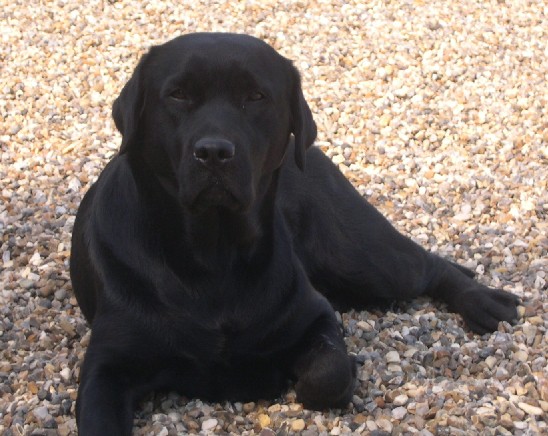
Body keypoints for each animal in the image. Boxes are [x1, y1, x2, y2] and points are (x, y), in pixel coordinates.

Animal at [69, 32, 520, 434]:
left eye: (255, 96)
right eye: (178, 95)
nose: (214, 152)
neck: (214, 255)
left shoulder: (314, 315)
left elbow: (328, 373)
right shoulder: (108, 366)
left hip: (358, 257)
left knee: (427, 264)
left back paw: (485, 302)